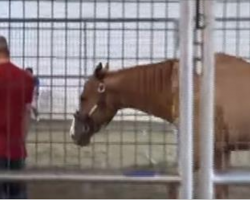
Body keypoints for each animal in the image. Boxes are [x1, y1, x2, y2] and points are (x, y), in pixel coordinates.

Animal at [69, 52, 250, 198]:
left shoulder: (202, 152)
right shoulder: (221, 152)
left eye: (83, 97)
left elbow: (174, 188)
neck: (191, 89)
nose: (74, 133)